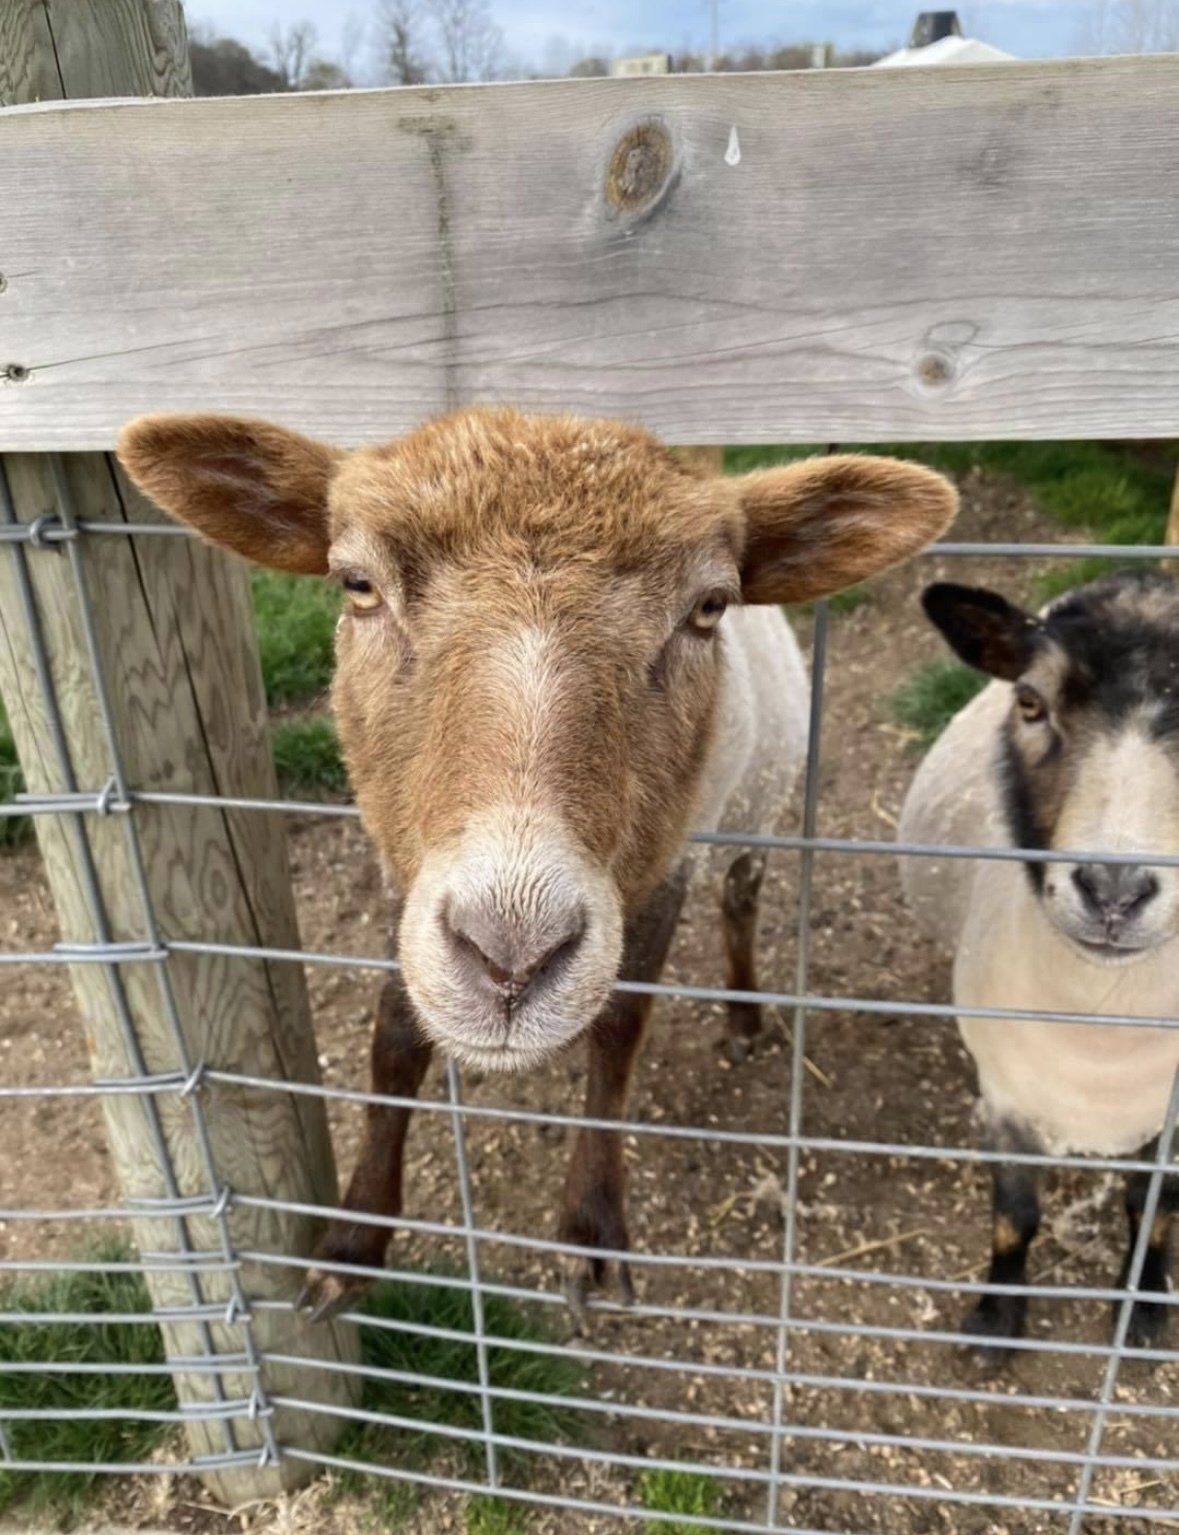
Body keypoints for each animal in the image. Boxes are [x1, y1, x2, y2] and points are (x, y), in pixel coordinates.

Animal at [118, 407, 955, 1319]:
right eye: (357, 584)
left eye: (707, 607)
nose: (511, 955)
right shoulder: (404, 874)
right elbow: (396, 1034)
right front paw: (352, 1240)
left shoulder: (666, 864)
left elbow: (618, 1033)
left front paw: (590, 1228)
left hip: (758, 805)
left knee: (742, 897)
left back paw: (742, 1012)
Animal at [899, 571, 1179, 1346]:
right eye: (1029, 702)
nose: (1113, 889)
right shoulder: (1007, 1096)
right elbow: (1015, 1213)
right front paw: (998, 1315)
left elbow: (1152, 1205)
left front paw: (1144, 1303)